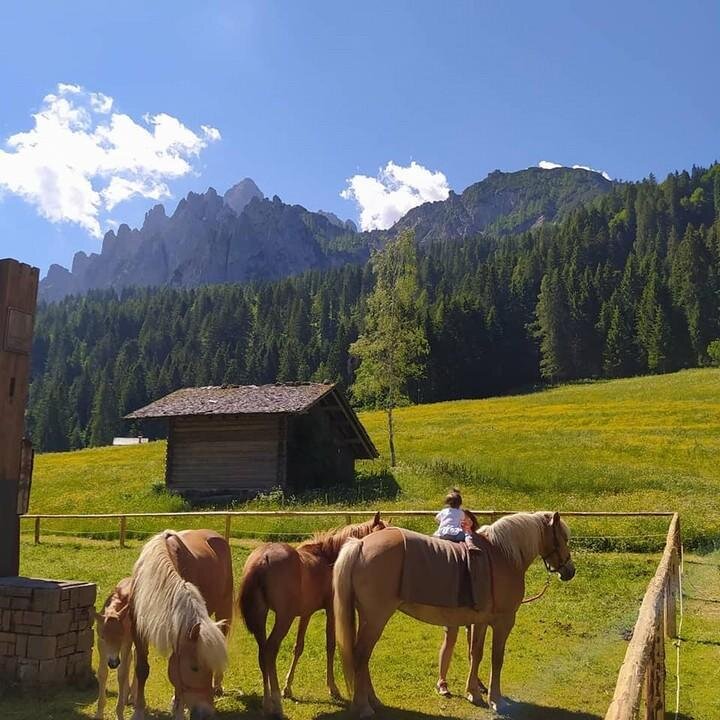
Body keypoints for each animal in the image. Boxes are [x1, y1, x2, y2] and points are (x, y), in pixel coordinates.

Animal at [95, 577, 136, 719]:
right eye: (103, 637)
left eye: (120, 635)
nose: (113, 663)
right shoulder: (100, 643)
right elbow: (102, 672)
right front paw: (99, 714)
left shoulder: (127, 640)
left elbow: (121, 673)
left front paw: (119, 712)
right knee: (130, 658)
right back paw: (127, 696)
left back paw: (131, 696)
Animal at [129, 529, 234, 720]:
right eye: (194, 668)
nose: (206, 713)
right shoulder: (138, 630)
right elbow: (142, 668)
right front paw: (139, 709)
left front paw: (178, 709)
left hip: (224, 608)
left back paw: (217, 686)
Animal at [239, 512, 386, 717]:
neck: (329, 557)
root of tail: (263, 558)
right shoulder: (331, 611)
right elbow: (330, 646)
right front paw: (333, 688)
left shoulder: (306, 614)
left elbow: (298, 647)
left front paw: (288, 688)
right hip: (283, 618)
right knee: (270, 650)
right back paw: (276, 704)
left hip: (262, 617)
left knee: (262, 653)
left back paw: (267, 702)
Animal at [334, 511, 575, 717]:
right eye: (563, 538)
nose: (570, 571)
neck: (501, 556)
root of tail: (361, 543)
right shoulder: (503, 622)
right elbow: (497, 659)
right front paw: (496, 700)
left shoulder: (480, 622)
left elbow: (475, 654)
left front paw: (474, 693)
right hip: (376, 619)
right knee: (360, 655)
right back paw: (364, 706)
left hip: (367, 619)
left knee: (362, 657)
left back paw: (373, 700)